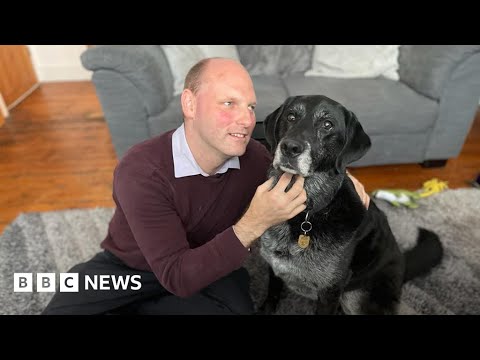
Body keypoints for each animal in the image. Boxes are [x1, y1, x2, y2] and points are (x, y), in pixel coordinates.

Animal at [258, 95, 442, 316]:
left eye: (327, 125)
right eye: (291, 116)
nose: (290, 148)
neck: (307, 214)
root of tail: (403, 265)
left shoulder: (330, 291)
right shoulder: (274, 269)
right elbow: (272, 294)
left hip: (355, 298)